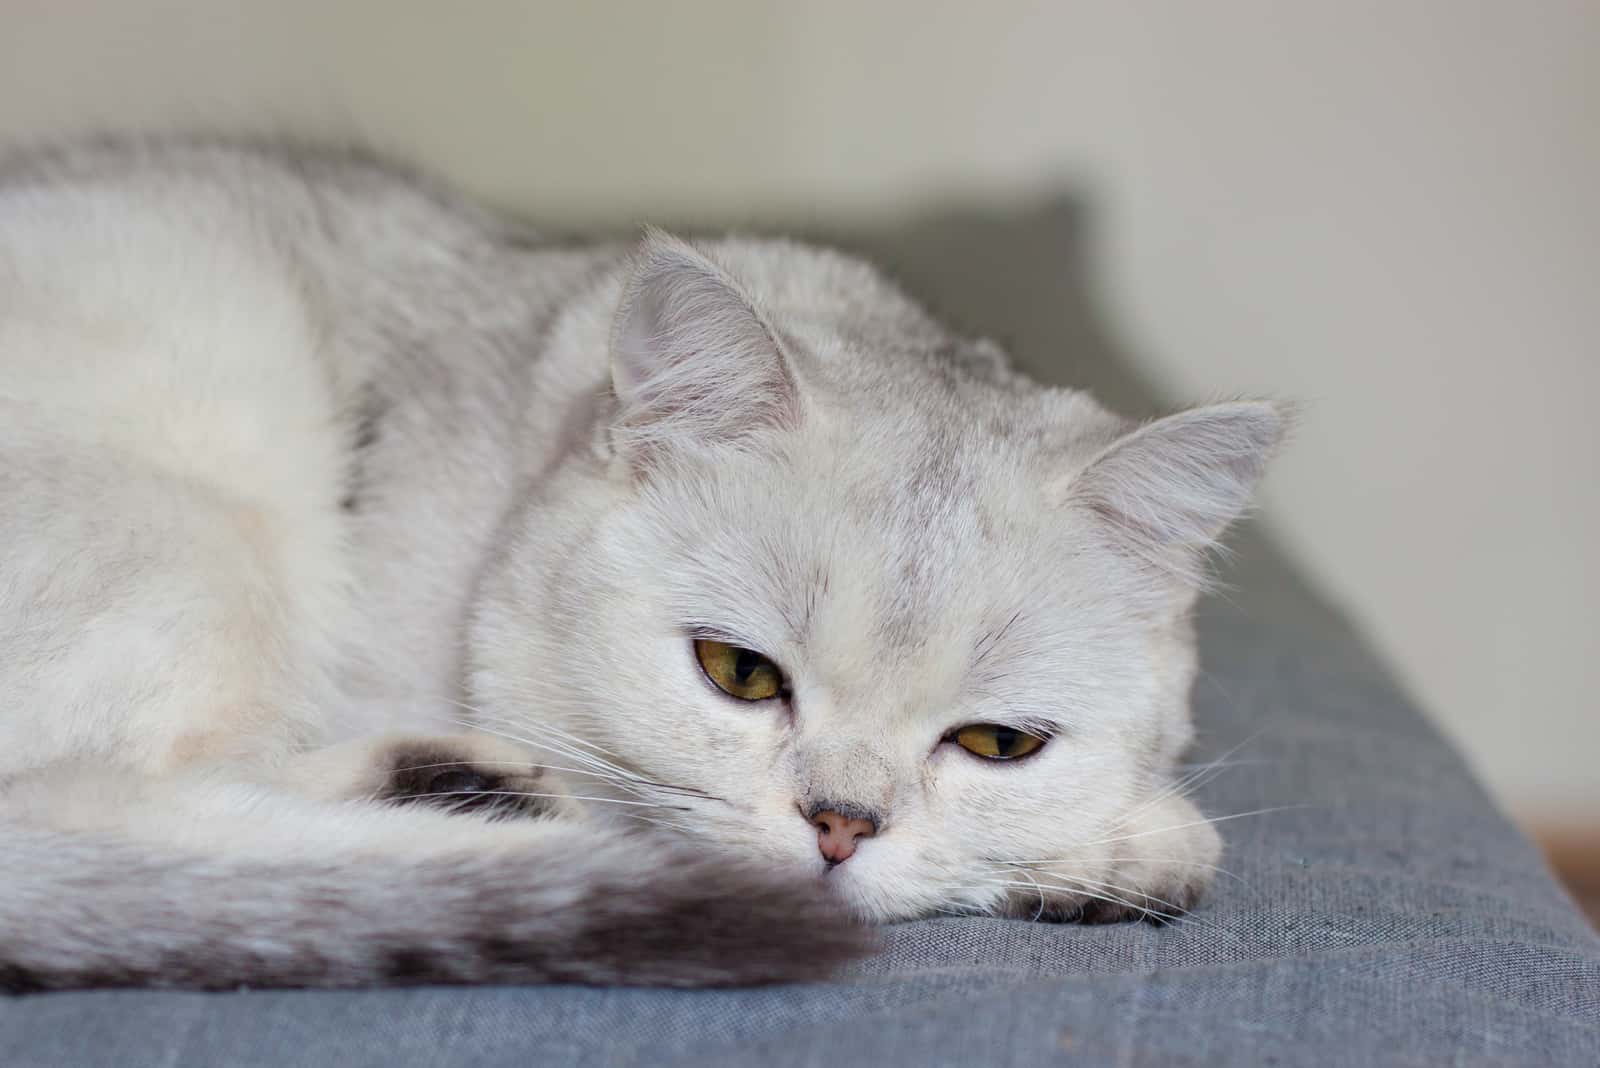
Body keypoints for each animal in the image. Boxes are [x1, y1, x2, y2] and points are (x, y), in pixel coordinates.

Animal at [0, 137, 1280, 991]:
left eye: (998, 745)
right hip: (196, 545)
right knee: (112, 805)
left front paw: (1102, 850)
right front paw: (1136, 844)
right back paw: (480, 800)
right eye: (739, 674)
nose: (839, 827)